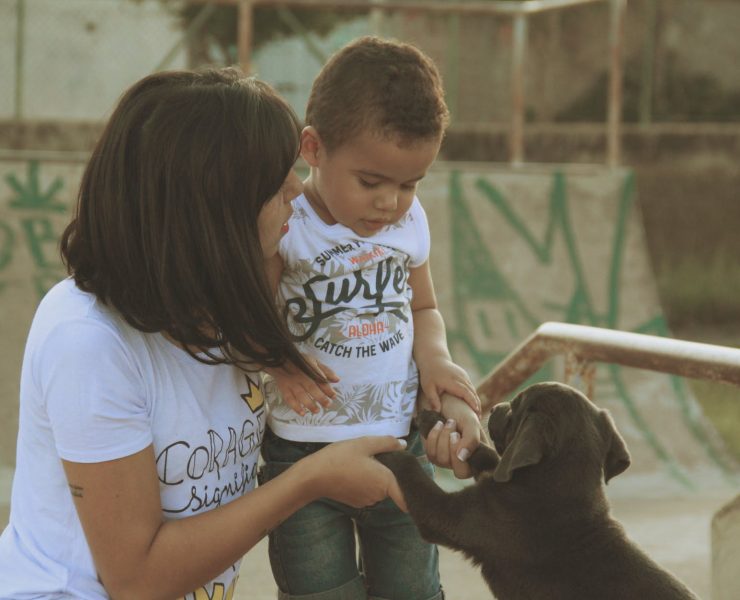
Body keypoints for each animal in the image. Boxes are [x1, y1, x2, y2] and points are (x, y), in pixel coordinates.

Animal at [378, 382, 704, 596]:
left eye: (516, 408)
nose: (497, 407)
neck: (554, 485)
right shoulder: (498, 478)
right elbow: (482, 454)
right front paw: (437, 421)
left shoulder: (452, 515)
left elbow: (414, 475)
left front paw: (389, 452)